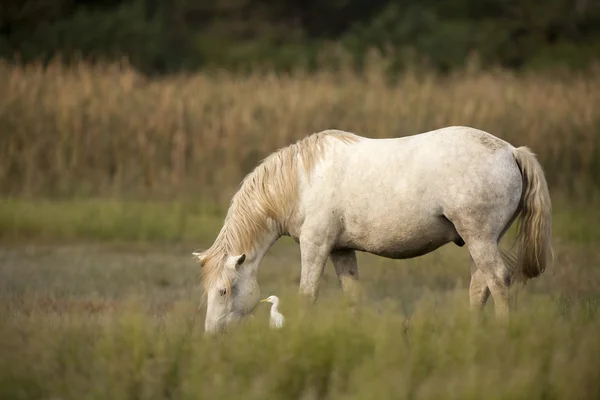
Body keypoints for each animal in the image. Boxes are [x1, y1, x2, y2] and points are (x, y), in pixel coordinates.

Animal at [193, 126, 552, 332]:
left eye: (223, 290)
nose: (212, 335)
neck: (300, 181)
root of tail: (511, 151)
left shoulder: (315, 246)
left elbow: (308, 294)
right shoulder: (341, 251)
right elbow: (353, 296)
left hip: (479, 238)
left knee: (498, 280)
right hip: (479, 240)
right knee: (480, 286)